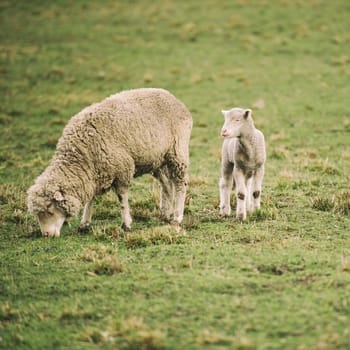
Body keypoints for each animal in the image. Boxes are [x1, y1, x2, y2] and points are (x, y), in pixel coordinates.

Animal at [27, 87, 193, 238]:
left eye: (50, 210)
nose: (46, 235)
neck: (81, 155)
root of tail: (172, 97)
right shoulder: (94, 174)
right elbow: (91, 200)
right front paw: (84, 224)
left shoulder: (122, 169)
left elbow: (122, 198)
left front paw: (126, 224)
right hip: (157, 159)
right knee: (166, 185)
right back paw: (165, 214)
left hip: (177, 151)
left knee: (180, 184)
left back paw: (177, 217)